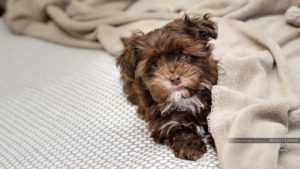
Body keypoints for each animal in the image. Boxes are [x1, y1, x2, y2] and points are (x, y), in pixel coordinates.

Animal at [116, 13, 217, 160]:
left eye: (185, 56)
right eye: (154, 64)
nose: (174, 78)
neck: (184, 99)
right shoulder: (163, 121)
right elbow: (178, 130)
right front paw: (191, 147)